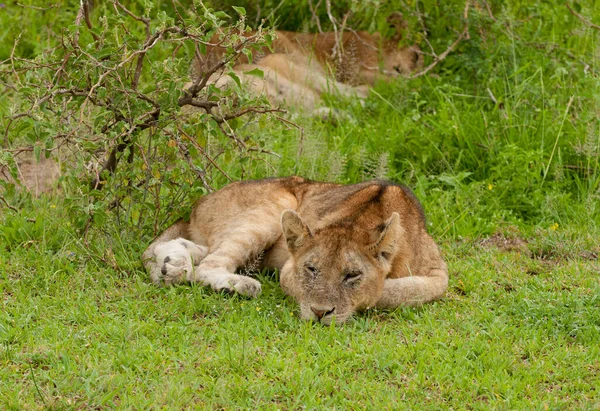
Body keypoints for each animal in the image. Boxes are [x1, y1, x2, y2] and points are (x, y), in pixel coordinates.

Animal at [143, 177, 448, 326]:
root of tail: (202, 200)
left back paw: (172, 265)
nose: (320, 313)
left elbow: (408, 290)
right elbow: (398, 291)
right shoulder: (288, 269)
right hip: (274, 208)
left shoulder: (439, 272)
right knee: (209, 264)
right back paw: (237, 286)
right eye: (311, 269)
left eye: (352, 275)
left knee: (196, 251)